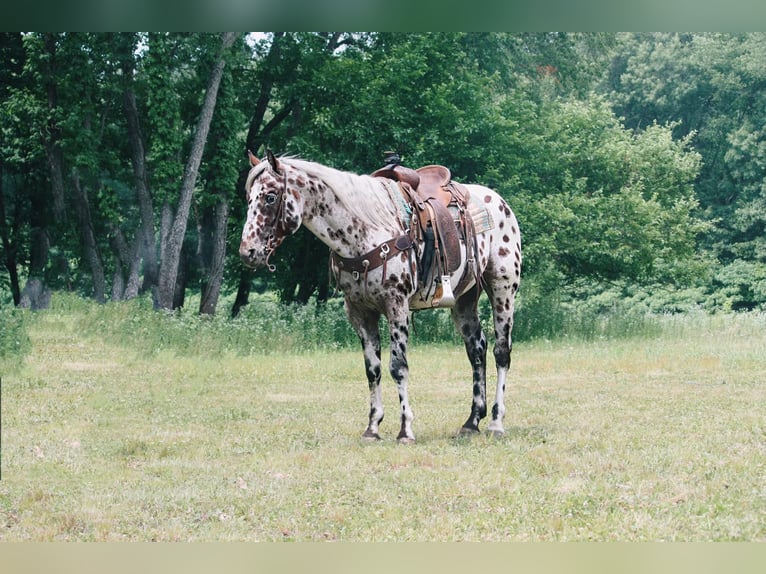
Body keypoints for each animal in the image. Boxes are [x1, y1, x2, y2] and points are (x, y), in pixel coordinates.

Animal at [240, 152, 520, 446]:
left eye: (270, 197)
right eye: (249, 197)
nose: (247, 252)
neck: (362, 232)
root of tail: (499, 202)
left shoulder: (396, 306)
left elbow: (398, 367)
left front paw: (405, 430)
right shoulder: (360, 313)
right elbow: (372, 370)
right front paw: (372, 427)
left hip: (503, 290)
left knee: (501, 352)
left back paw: (496, 422)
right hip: (464, 301)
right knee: (476, 350)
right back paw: (472, 421)